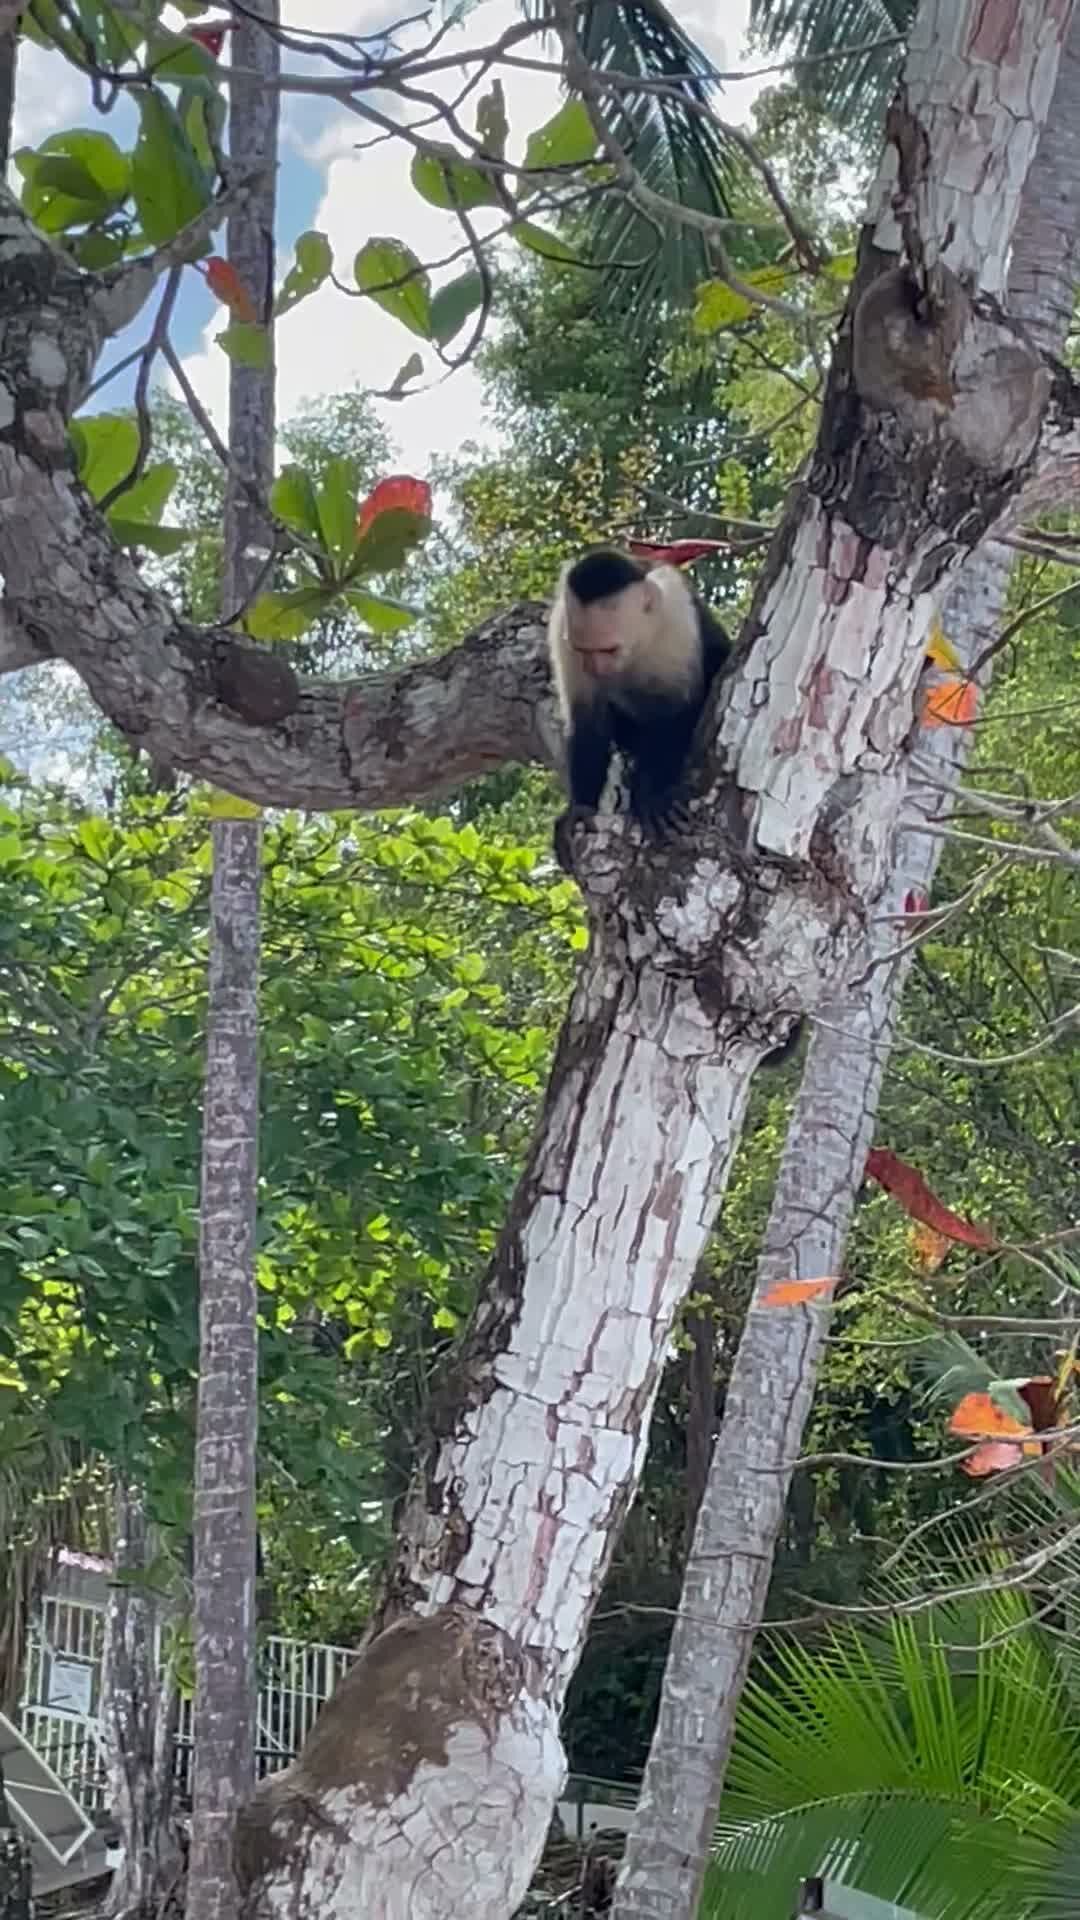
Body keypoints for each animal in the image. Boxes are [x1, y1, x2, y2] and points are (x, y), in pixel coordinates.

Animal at [547, 547, 732, 864]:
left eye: (609, 649)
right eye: (583, 650)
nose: (595, 668)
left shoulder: (675, 614)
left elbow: (678, 709)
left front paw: (654, 795)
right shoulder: (563, 628)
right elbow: (587, 722)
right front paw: (580, 807)